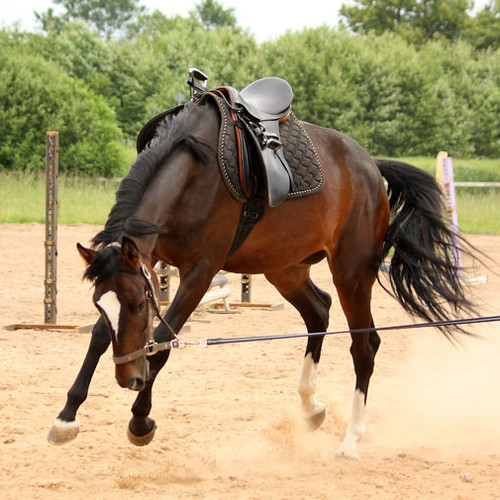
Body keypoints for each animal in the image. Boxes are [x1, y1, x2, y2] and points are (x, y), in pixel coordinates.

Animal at [48, 94, 474, 460]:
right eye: (100, 305)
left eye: (138, 305)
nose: (127, 378)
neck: (193, 169)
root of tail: (370, 167)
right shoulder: (150, 262)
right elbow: (101, 335)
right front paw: (67, 416)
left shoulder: (200, 272)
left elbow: (162, 343)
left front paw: (140, 421)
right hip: (284, 268)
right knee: (319, 312)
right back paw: (311, 406)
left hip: (351, 272)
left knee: (364, 345)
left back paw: (351, 440)